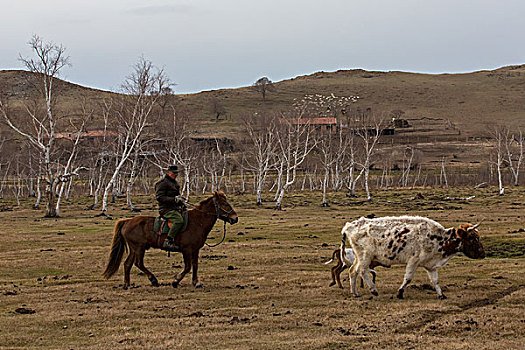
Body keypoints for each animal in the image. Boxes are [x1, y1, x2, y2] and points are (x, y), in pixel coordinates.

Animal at [101, 193, 239, 288]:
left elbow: (195, 265)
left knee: (127, 264)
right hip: (139, 248)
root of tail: (127, 221)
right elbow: (188, 267)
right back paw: (153, 280)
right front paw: (175, 281)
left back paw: (127, 284)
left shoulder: (195, 250)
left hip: (134, 249)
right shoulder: (186, 250)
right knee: (138, 263)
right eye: (224, 204)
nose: (235, 218)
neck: (197, 221)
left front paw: (196, 282)